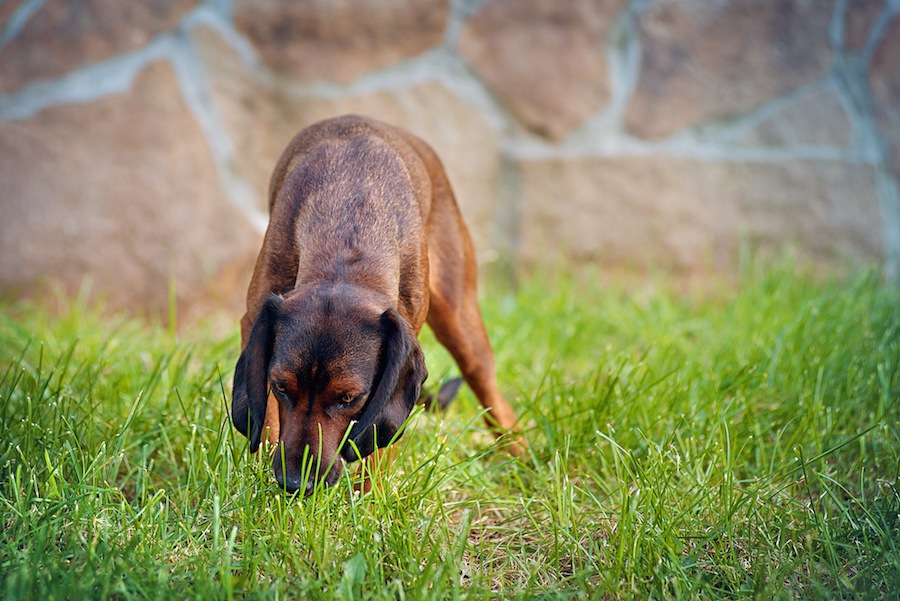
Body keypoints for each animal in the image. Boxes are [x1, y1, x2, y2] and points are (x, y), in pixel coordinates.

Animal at [230, 115, 520, 494]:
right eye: (280, 386)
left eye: (348, 398)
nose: (296, 484)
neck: (348, 232)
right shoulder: (255, 321)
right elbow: (266, 419)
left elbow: (380, 441)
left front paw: (369, 499)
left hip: (461, 324)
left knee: (494, 397)